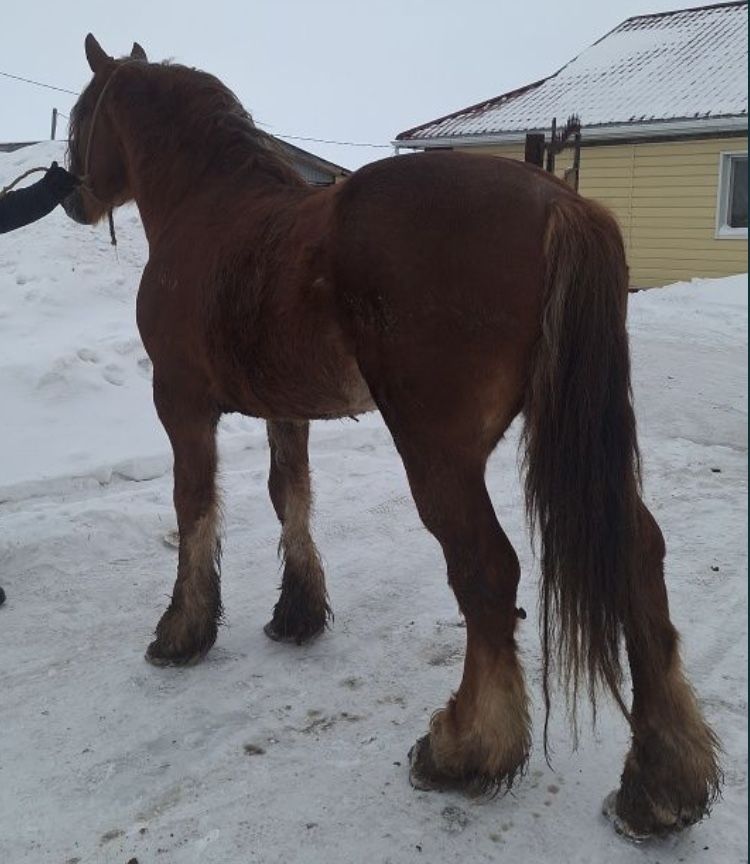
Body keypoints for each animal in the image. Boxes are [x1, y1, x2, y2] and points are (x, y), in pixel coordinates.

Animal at [64, 35, 724, 836]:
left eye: (82, 116)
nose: (71, 195)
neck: (208, 208)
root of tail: (562, 202)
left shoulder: (181, 403)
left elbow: (194, 509)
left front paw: (182, 632)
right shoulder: (287, 408)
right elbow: (290, 497)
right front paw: (297, 613)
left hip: (437, 452)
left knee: (487, 570)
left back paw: (467, 748)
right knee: (637, 554)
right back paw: (664, 782)